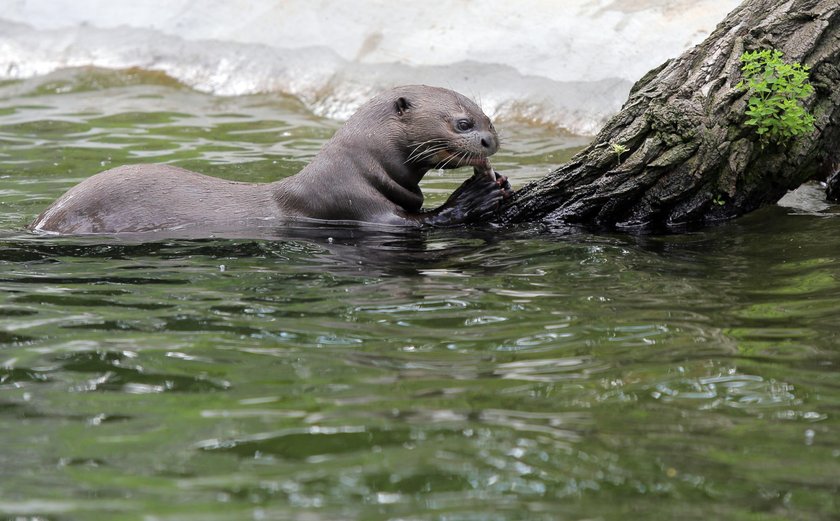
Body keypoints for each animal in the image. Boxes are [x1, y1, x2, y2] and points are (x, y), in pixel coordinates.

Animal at [31, 84, 512, 235]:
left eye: (490, 116)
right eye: (463, 123)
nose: (490, 141)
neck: (362, 166)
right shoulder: (349, 202)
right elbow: (418, 222)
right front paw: (475, 196)